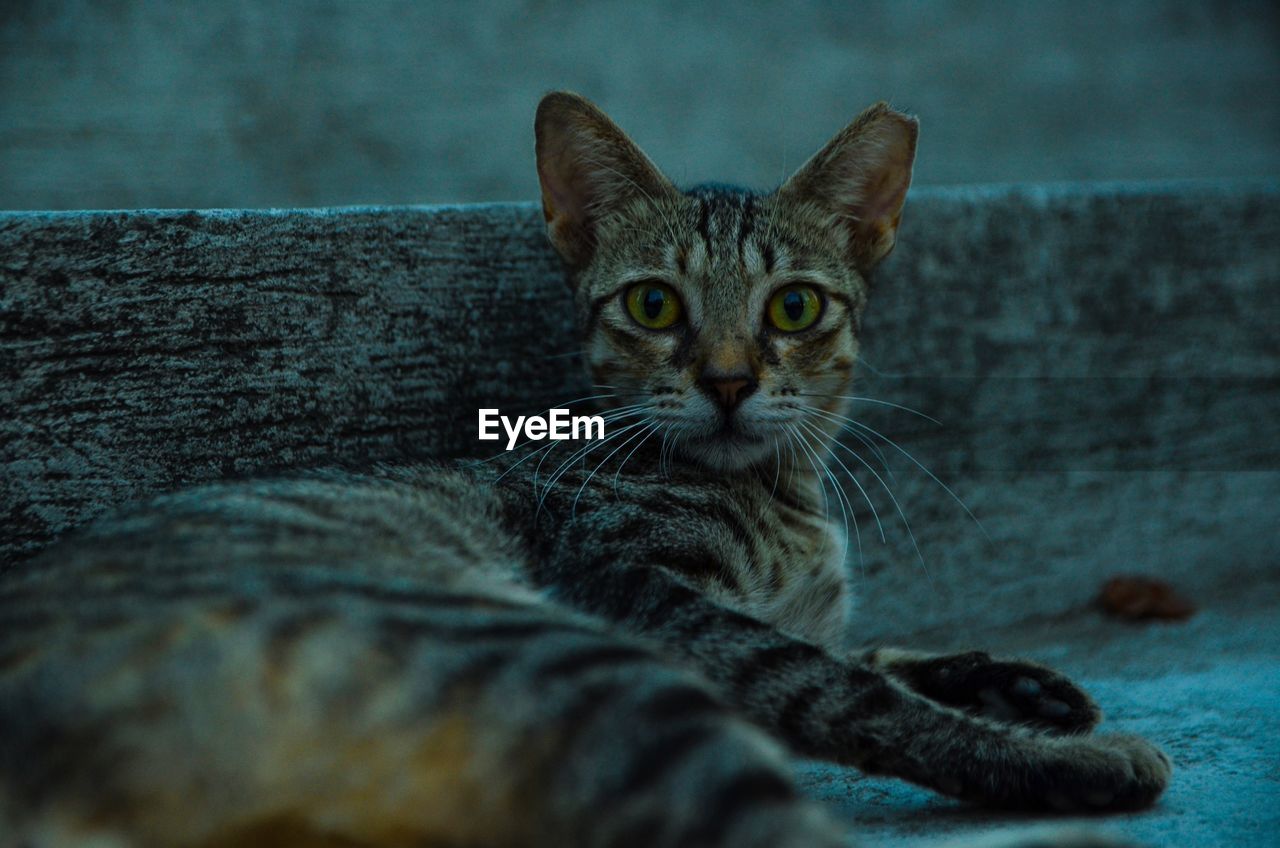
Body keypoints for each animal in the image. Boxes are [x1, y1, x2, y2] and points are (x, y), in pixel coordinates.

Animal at [0, 92, 1172, 848]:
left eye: (795, 306)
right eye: (653, 303)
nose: (729, 380)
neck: (780, 499)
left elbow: (870, 644)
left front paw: (1021, 683)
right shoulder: (641, 591)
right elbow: (849, 684)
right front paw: (1059, 747)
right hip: (560, 655)